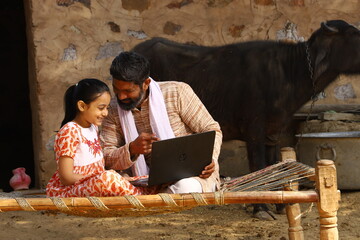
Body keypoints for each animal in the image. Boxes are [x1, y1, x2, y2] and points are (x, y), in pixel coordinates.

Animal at [132, 20, 360, 174]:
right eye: (355, 36)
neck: (287, 71)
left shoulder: (273, 131)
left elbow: (272, 163)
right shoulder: (254, 130)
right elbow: (258, 164)